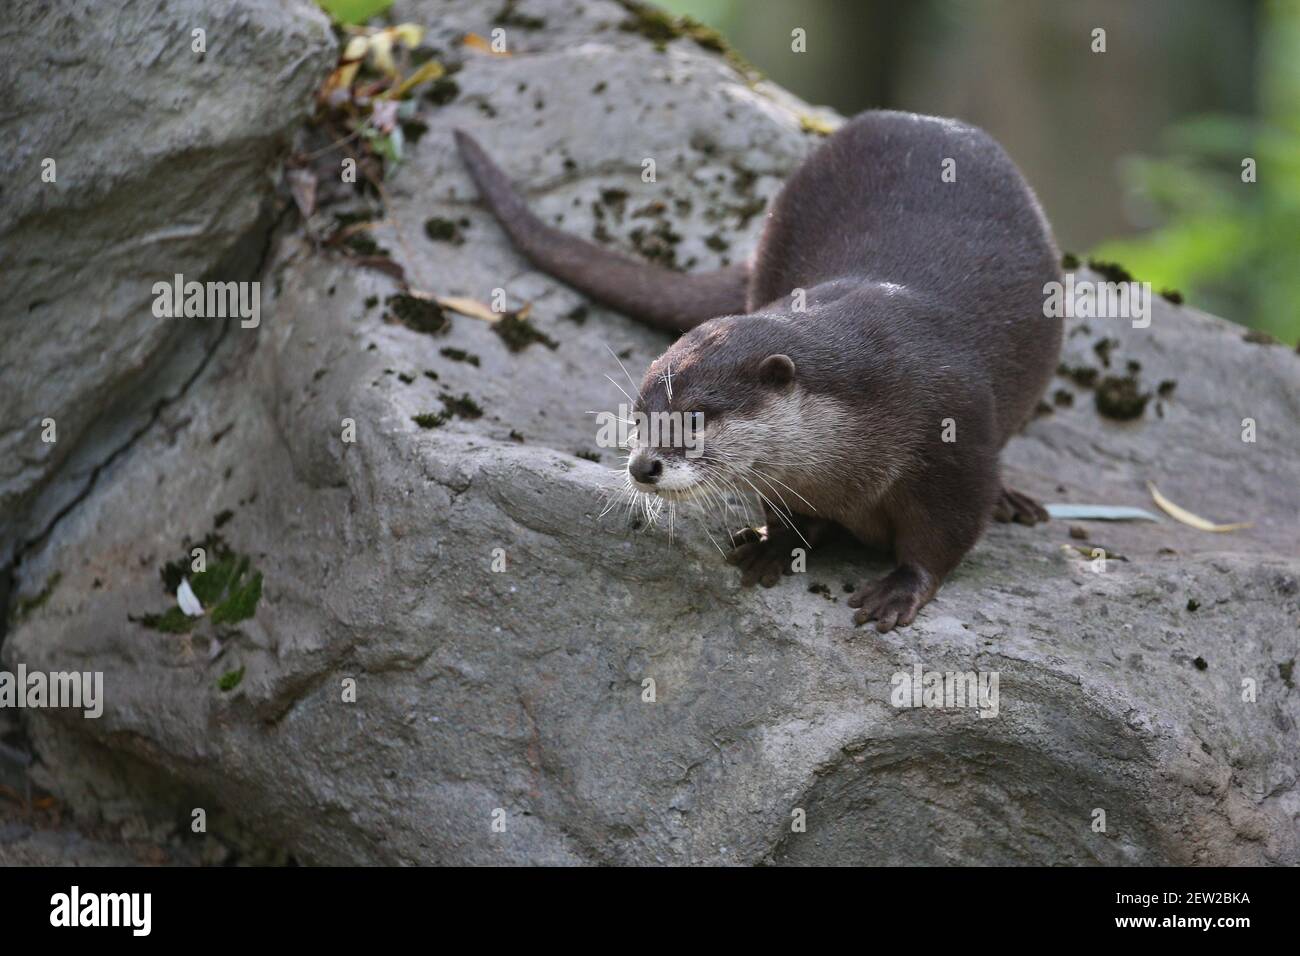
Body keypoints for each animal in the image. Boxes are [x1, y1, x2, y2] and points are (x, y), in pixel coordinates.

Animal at [452, 111, 1060, 632]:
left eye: (696, 418)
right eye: (639, 417)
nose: (644, 467)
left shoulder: (953, 438)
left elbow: (944, 537)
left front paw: (899, 589)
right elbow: (789, 514)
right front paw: (773, 545)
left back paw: (1014, 502)